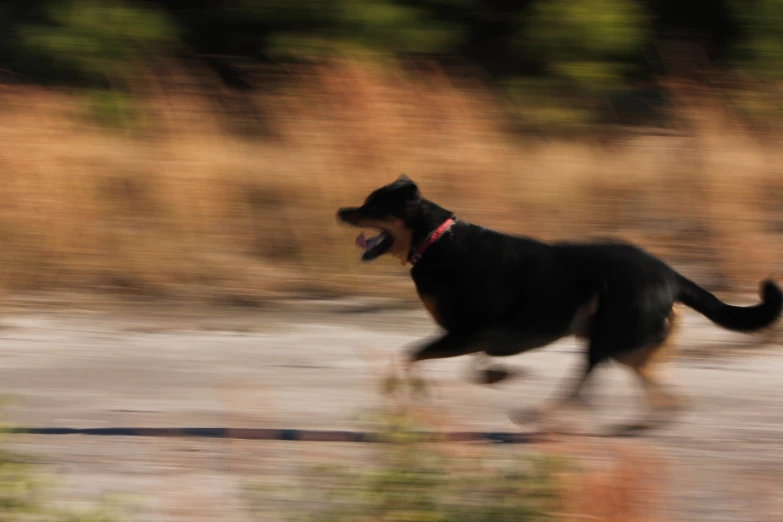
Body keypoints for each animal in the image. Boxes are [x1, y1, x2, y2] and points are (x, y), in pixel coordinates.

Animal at [336, 175, 783, 426]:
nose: (341, 210)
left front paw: (400, 391)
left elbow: (408, 356)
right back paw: (642, 424)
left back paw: (544, 415)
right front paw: (497, 375)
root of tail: (671, 274)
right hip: (626, 344)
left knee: (583, 388)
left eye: (374, 205)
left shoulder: (464, 334)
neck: (434, 240)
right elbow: (468, 364)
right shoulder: (474, 337)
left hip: (605, 336)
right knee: (662, 394)